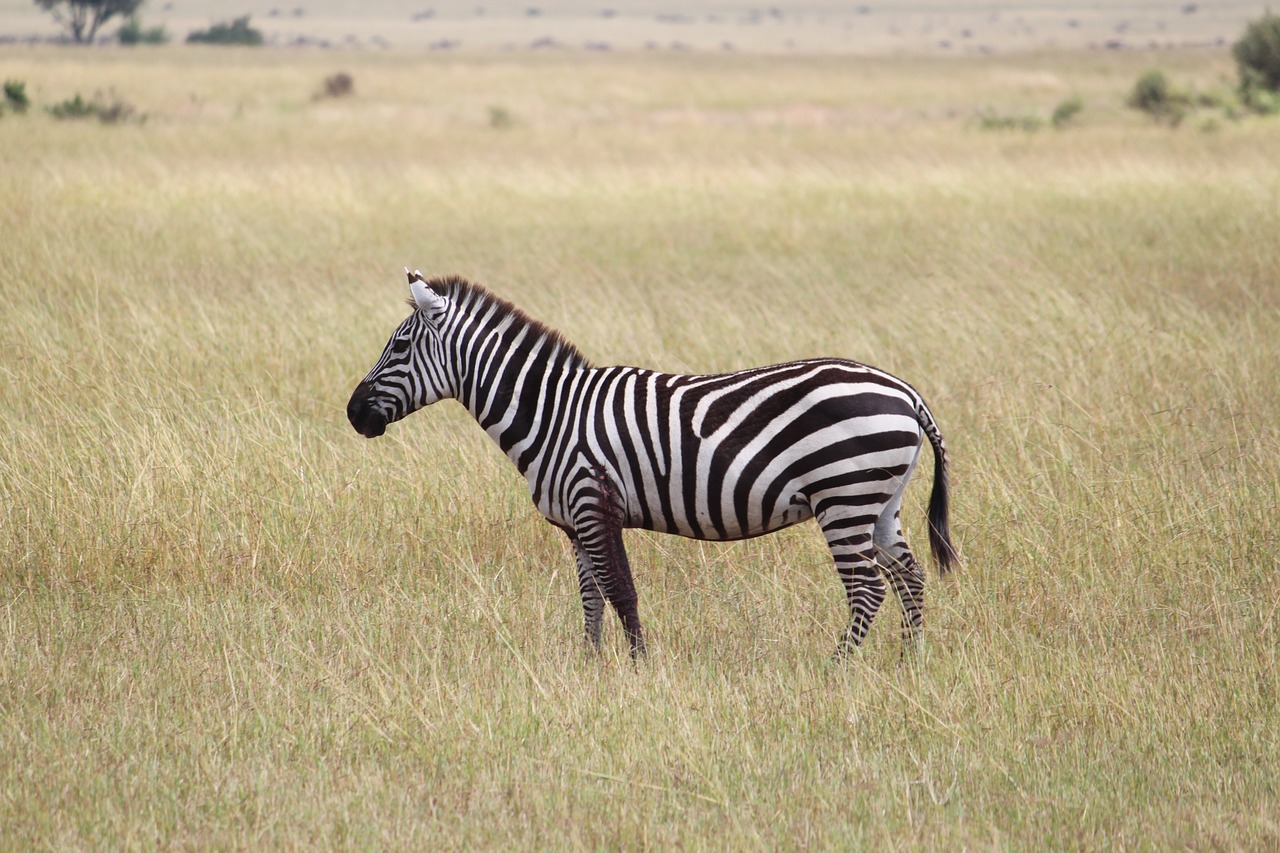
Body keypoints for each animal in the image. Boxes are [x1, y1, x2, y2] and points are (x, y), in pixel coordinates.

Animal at [345, 272, 957, 655]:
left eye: (399, 348)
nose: (353, 414)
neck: (552, 412)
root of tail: (904, 391)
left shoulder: (593, 503)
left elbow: (621, 593)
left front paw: (638, 670)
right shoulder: (575, 523)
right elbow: (591, 599)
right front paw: (589, 667)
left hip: (844, 495)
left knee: (868, 588)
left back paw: (838, 669)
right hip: (880, 500)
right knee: (909, 576)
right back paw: (910, 660)